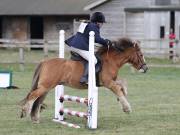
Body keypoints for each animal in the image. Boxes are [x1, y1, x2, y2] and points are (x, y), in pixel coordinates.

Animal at [19, 37, 148, 123]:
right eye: (141, 54)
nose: (146, 68)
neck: (110, 61)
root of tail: (44, 62)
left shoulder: (110, 81)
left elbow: (122, 84)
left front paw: (123, 96)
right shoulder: (108, 83)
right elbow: (118, 88)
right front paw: (127, 108)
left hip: (47, 87)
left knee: (38, 100)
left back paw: (35, 118)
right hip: (45, 86)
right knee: (33, 96)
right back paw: (25, 112)